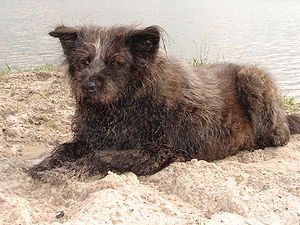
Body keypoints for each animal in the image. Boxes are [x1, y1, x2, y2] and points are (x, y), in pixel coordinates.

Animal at [27, 24, 300, 179]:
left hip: (252, 77)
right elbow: (65, 147)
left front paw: (63, 171)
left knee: (280, 135)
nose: (88, 86)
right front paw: (46, 163)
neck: (123, 104)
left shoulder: (156, 153)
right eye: (84, 61)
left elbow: (98, 157)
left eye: (116, 62)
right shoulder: (92, 138)